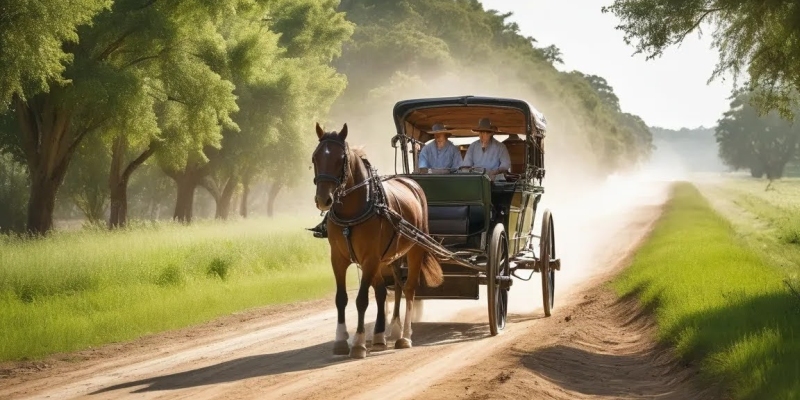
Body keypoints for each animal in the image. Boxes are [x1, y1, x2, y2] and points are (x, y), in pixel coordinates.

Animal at [310, 122, 444, 360]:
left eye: (340, 158)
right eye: (315, 157)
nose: (323, 200)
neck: (352, 212)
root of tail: (411, 183)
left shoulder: (370, 258)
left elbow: (362, 299)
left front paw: (358, 344)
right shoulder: (339, 258)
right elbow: (341, 298)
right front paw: (341, 340)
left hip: (413, 250)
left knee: (408, 289)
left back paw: (404, 336)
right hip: (389, 257)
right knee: (390, 289)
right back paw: (385, 334)